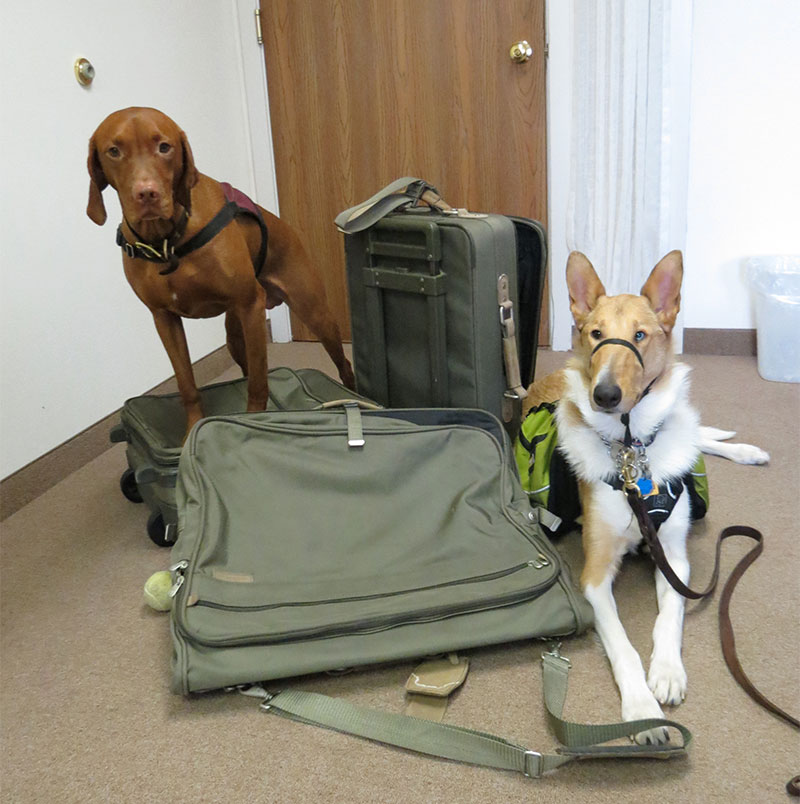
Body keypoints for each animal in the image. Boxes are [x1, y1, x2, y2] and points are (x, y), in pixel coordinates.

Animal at [86, 107, 354, 440]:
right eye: (114, 151)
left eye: (164, 147)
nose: (146, 194)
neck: (168, 239)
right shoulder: (164, 318)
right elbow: (187, 384)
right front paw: (192, 432)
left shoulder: (249, 304)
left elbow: (258, 385)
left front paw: (253, 422)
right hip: (235, 335)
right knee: (246, 367)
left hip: (313, 313)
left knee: (341, 363)